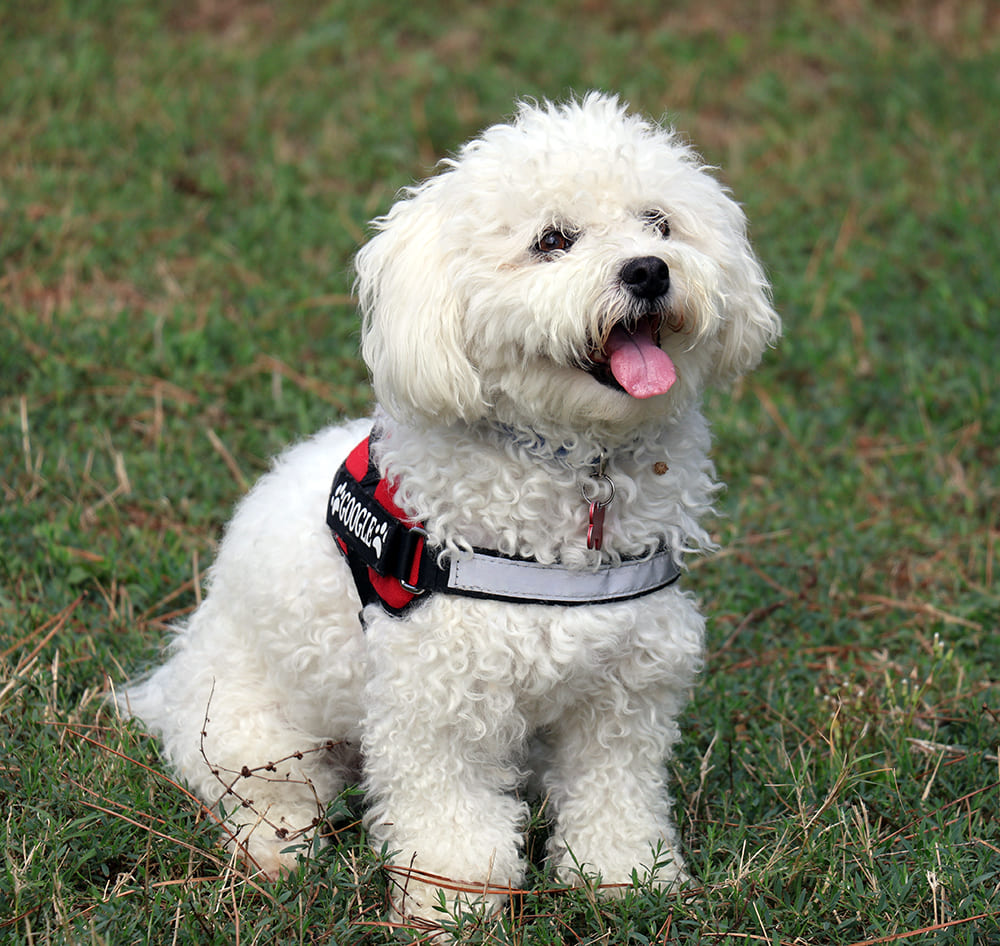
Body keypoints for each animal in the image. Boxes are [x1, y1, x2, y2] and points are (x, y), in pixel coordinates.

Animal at [121, 92, 780, 924]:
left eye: (660, 223)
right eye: (551, 240)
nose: (649, 271)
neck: (573, 465)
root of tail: (170, 681)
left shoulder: (624, 691)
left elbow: (614, 796)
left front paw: (624, 876)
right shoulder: (436, 697)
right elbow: (451, 818)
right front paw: (451, 903)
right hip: (254, 730)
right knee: (264, 794)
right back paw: (275, 853)